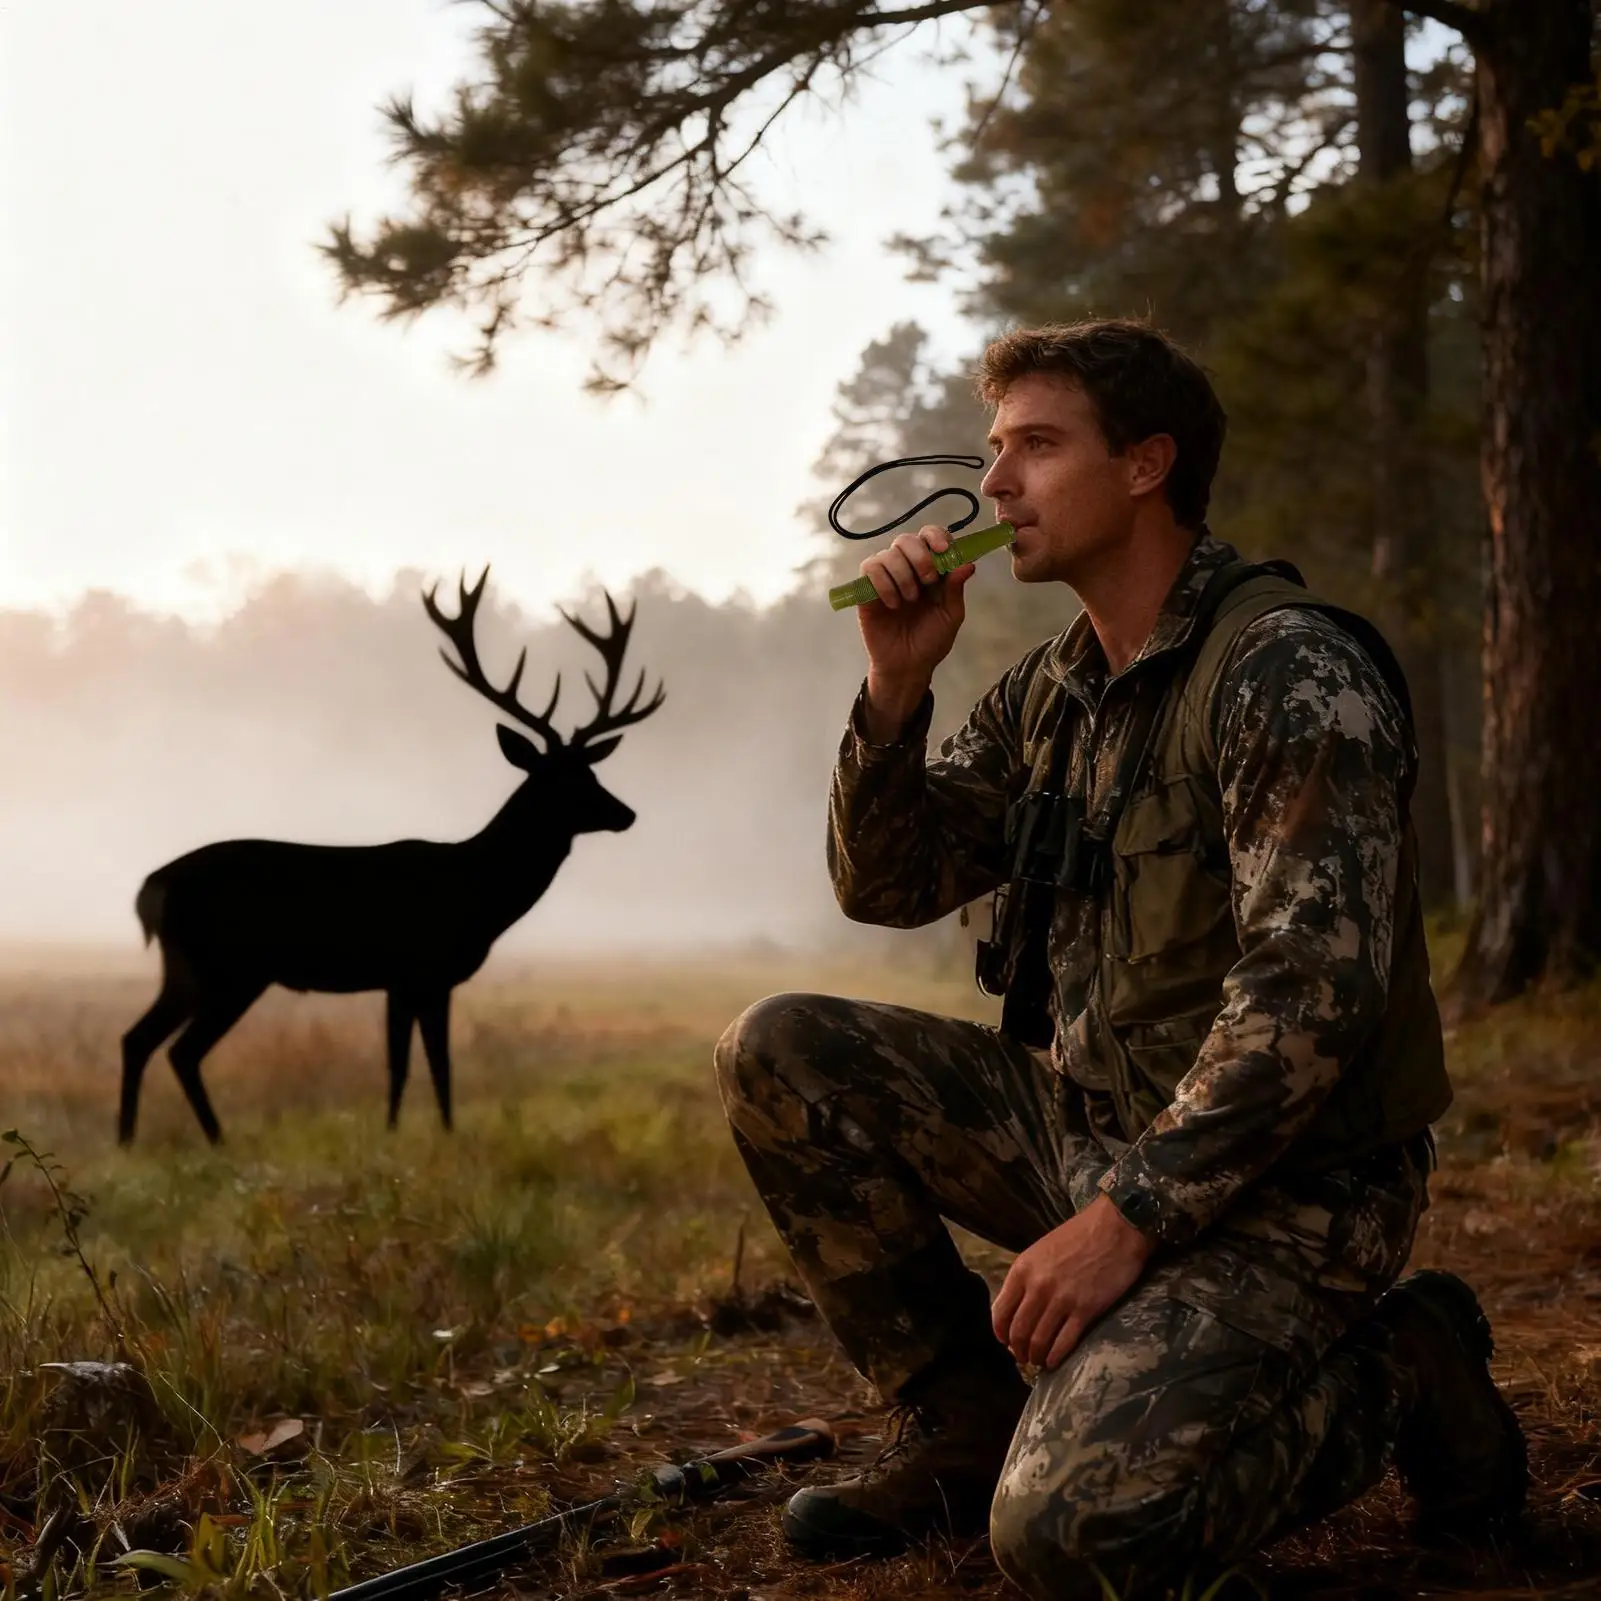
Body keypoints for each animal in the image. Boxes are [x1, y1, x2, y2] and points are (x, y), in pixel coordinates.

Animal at [118, 570, 665, 1145]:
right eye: (561, 780)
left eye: (593, 771)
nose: (626, 813)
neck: (477, 894)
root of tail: (152, 887)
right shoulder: (417, 969)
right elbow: (420, 1063)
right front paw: (416, 1135)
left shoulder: (414, 980)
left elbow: (420, 1063)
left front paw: (418, 1132)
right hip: (230, 966)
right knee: (181, 1049)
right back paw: (211, 1138)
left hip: (187, 966)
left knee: (141, 1039)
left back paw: (131, 1139)